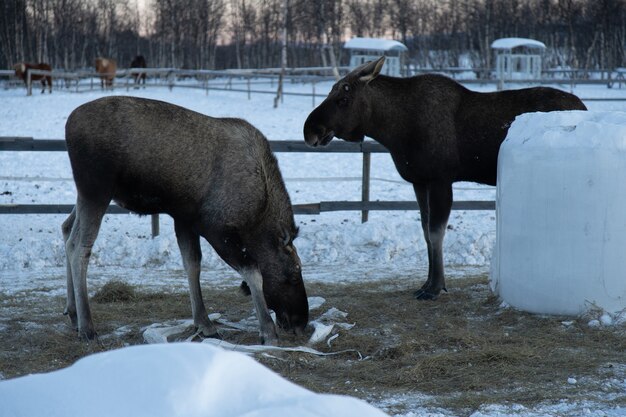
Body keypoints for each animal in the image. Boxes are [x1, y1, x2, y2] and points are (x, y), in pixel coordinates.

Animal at [61, 96, 308, 342]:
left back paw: (73, 314)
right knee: (80, 247)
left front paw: (204, 323)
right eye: (295, 273)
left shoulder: (184, 219)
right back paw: (87, 326)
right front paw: (267, 329)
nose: (301, 323)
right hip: (96, 190)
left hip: (88, 194)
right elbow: (253, 272)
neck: (257, 215)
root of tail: (68, 124)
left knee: (67, 230)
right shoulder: (216, 229)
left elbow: (192, 265)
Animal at [302, 57, 584, 300]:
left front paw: (436, 288)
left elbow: (436, 233)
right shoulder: (420, 181)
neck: (392, 130)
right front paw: (427, 283)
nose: (310, 130)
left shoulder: (441, 179)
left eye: (343, 98)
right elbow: (426, 232)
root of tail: (584, 106)